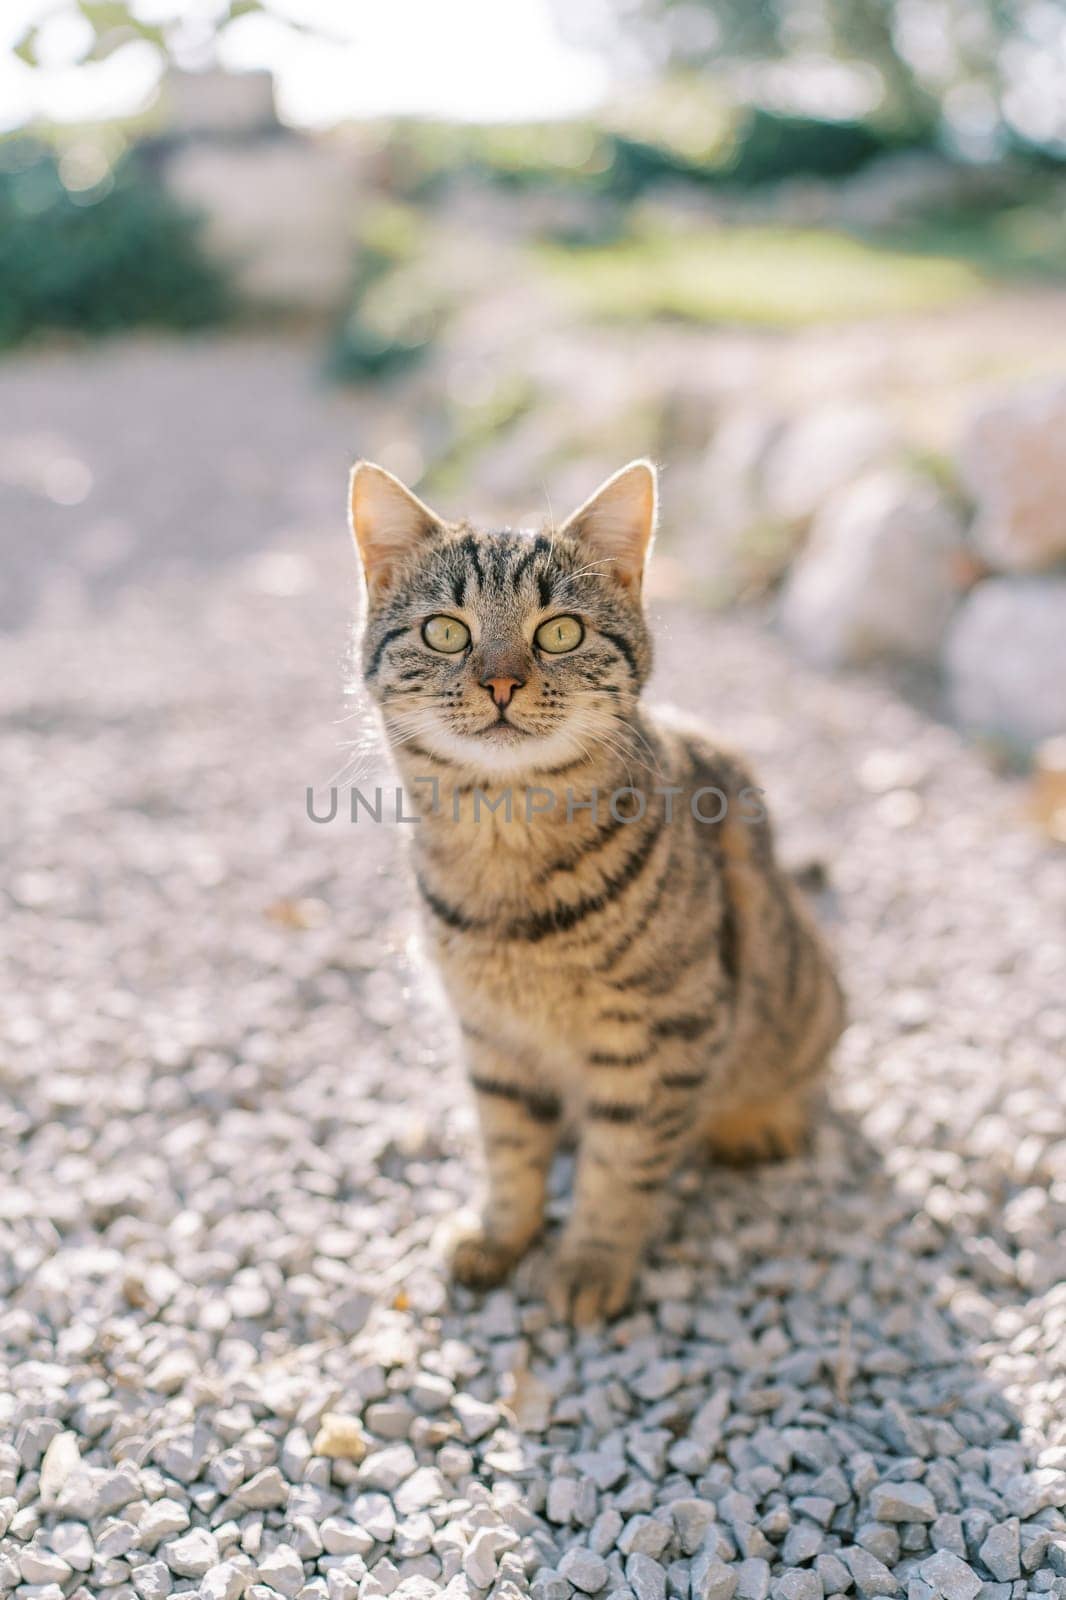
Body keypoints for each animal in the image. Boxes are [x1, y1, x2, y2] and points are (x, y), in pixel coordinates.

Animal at [348, 460, 838, 1324]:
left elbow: (621, 1167)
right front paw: (500, 1235)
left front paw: (590, 1263)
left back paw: (762, 1120)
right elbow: (510, 1149)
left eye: (559, 633)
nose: (501, 681)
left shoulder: (660, 1036)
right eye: (445, 631)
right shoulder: (491, 1037)